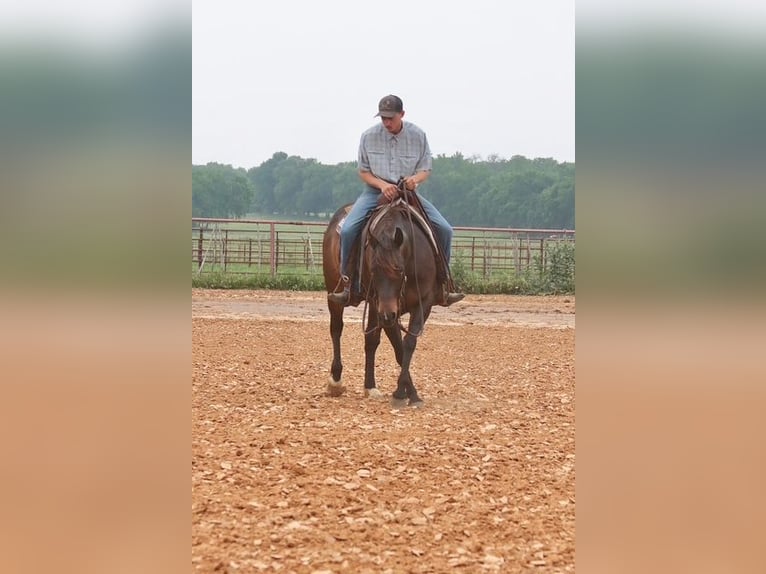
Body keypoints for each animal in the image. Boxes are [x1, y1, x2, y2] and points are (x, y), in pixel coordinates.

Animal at [322, 190, 442, 406]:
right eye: (373, 269)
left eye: (399, 269)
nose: (387, 314)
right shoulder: (382, 305)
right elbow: (397, 347)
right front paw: (404, 393)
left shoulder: (423, 303)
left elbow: (407, 344)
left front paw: (409, 393)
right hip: (335, 292)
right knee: (336, 329)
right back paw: (335, 381)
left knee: (371, 339)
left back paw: (370, 386)